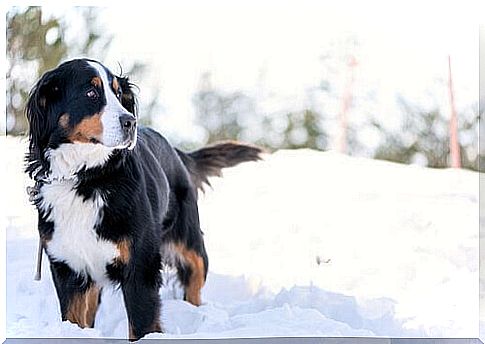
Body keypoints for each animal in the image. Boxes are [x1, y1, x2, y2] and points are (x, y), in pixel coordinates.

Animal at [25, 57, 262, 340]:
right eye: (91, 92)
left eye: (118, 94)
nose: (130, 122)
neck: (87, 178)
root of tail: (177, 152)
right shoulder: (68, 266)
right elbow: (74, 319)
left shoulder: (140, 266)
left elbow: (141, 325)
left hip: (190, 242)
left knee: (194, 280)